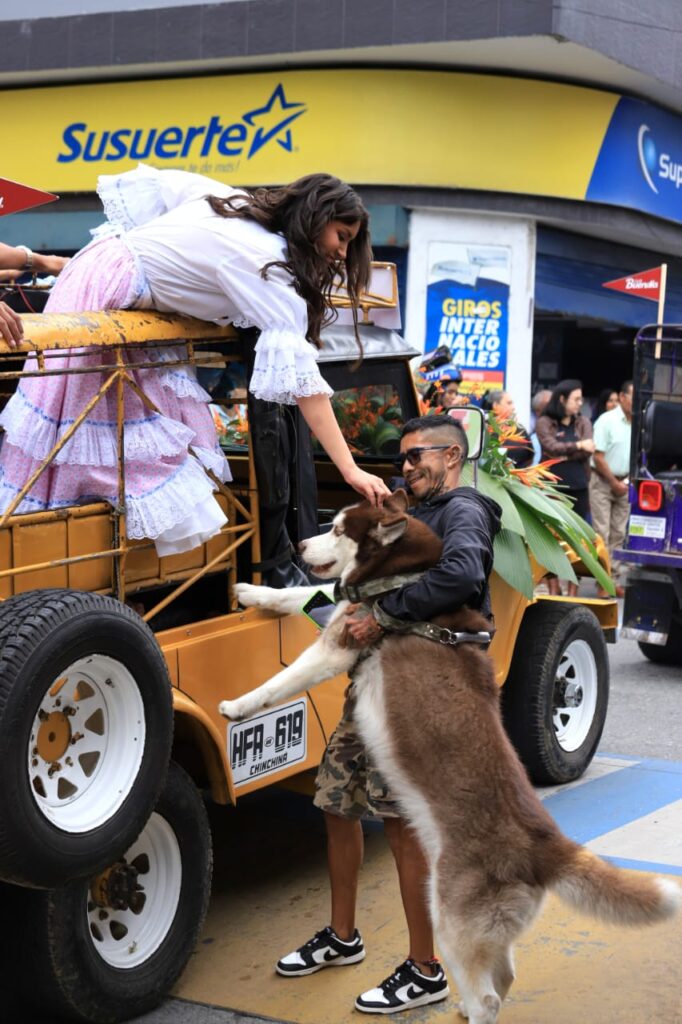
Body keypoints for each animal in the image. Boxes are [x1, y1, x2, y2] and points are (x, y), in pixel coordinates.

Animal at [219, 487, 675, 1024]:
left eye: (338, 529)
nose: (297, 545)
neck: (407, 578)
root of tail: (545, 843)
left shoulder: (339, 645)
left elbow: (276, 684)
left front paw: (235, 706)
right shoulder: (342, 607)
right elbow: (309, 595)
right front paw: (254, 593)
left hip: (451, 915)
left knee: (489, 995)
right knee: (505, 975)